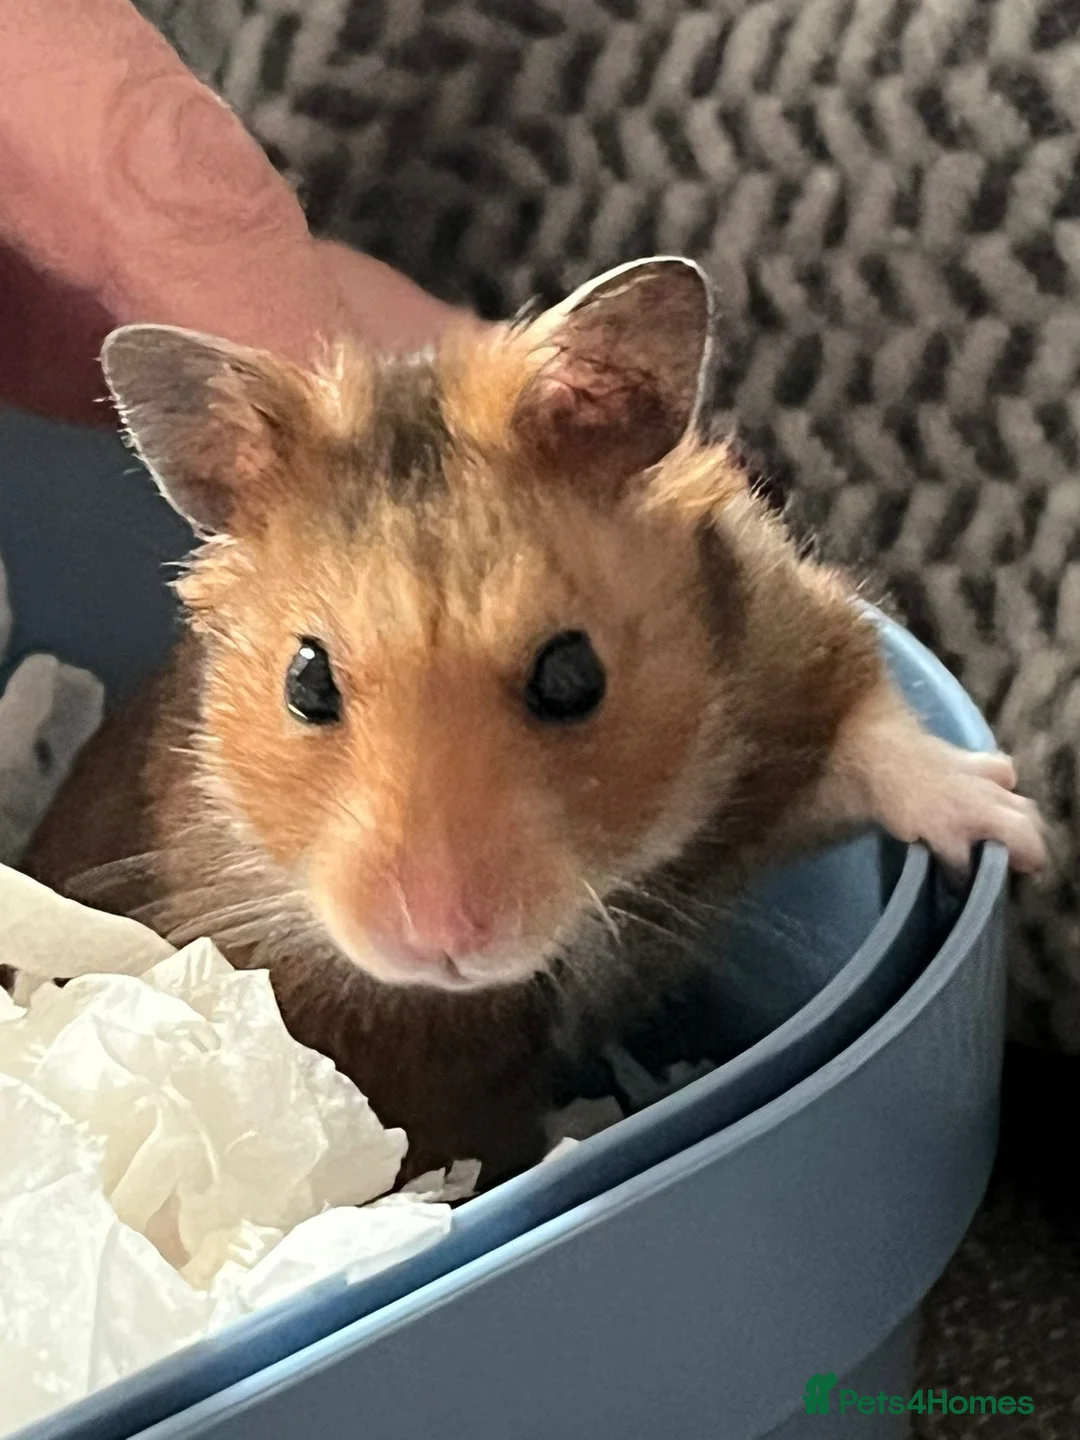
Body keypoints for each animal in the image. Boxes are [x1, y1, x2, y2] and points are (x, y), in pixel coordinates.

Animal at [23, 257, 1045, 1184]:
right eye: (305, 681)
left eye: (572, 673)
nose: (438, 942)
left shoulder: (783, 658)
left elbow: (874, 729)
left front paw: (1014, 828)